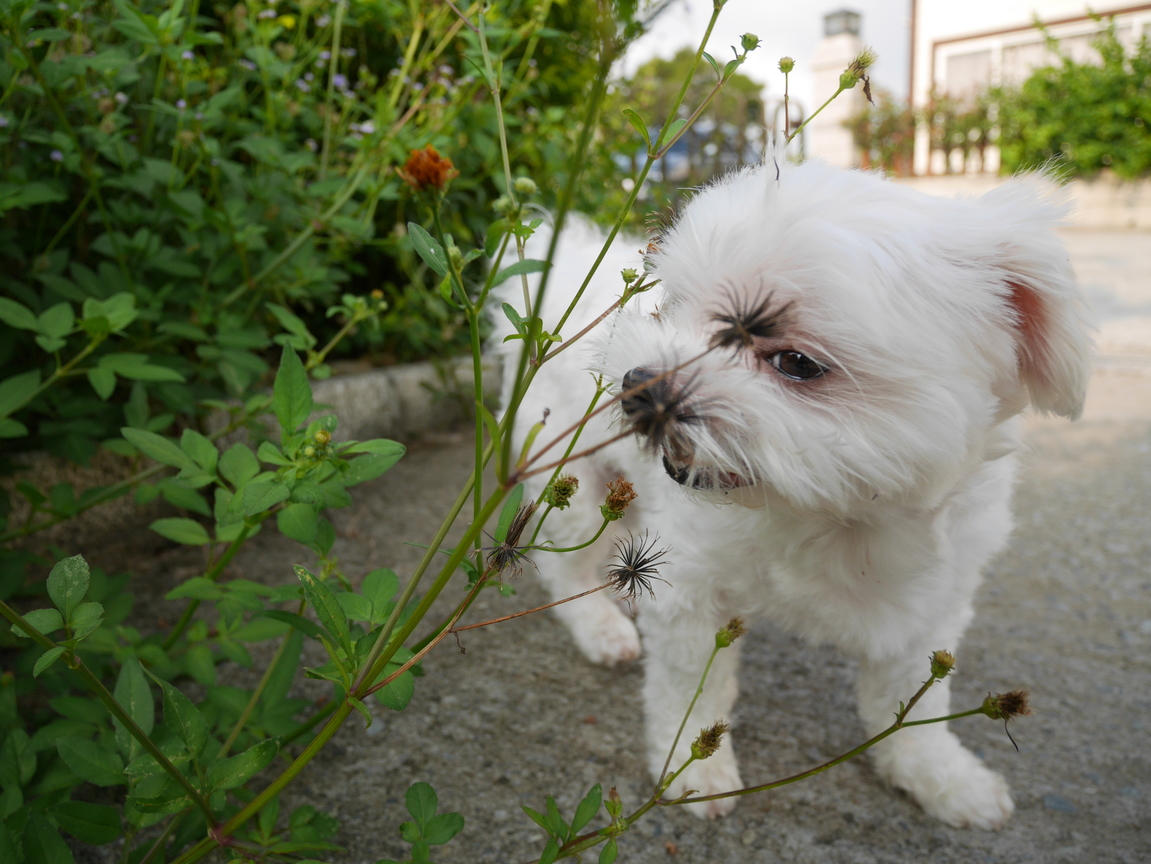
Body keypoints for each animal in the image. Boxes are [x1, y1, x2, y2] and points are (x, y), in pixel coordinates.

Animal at [497, 157, 1086, 832]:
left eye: (797, 362)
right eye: (668, 309)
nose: (639, 385)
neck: (836, 516)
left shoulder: (930, 610)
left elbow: (914, 708)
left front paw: (940, 776)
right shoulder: (692, 590)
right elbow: (688, 688)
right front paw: (690, 768)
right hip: (569, 477)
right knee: (565, 565)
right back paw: (597, 625)